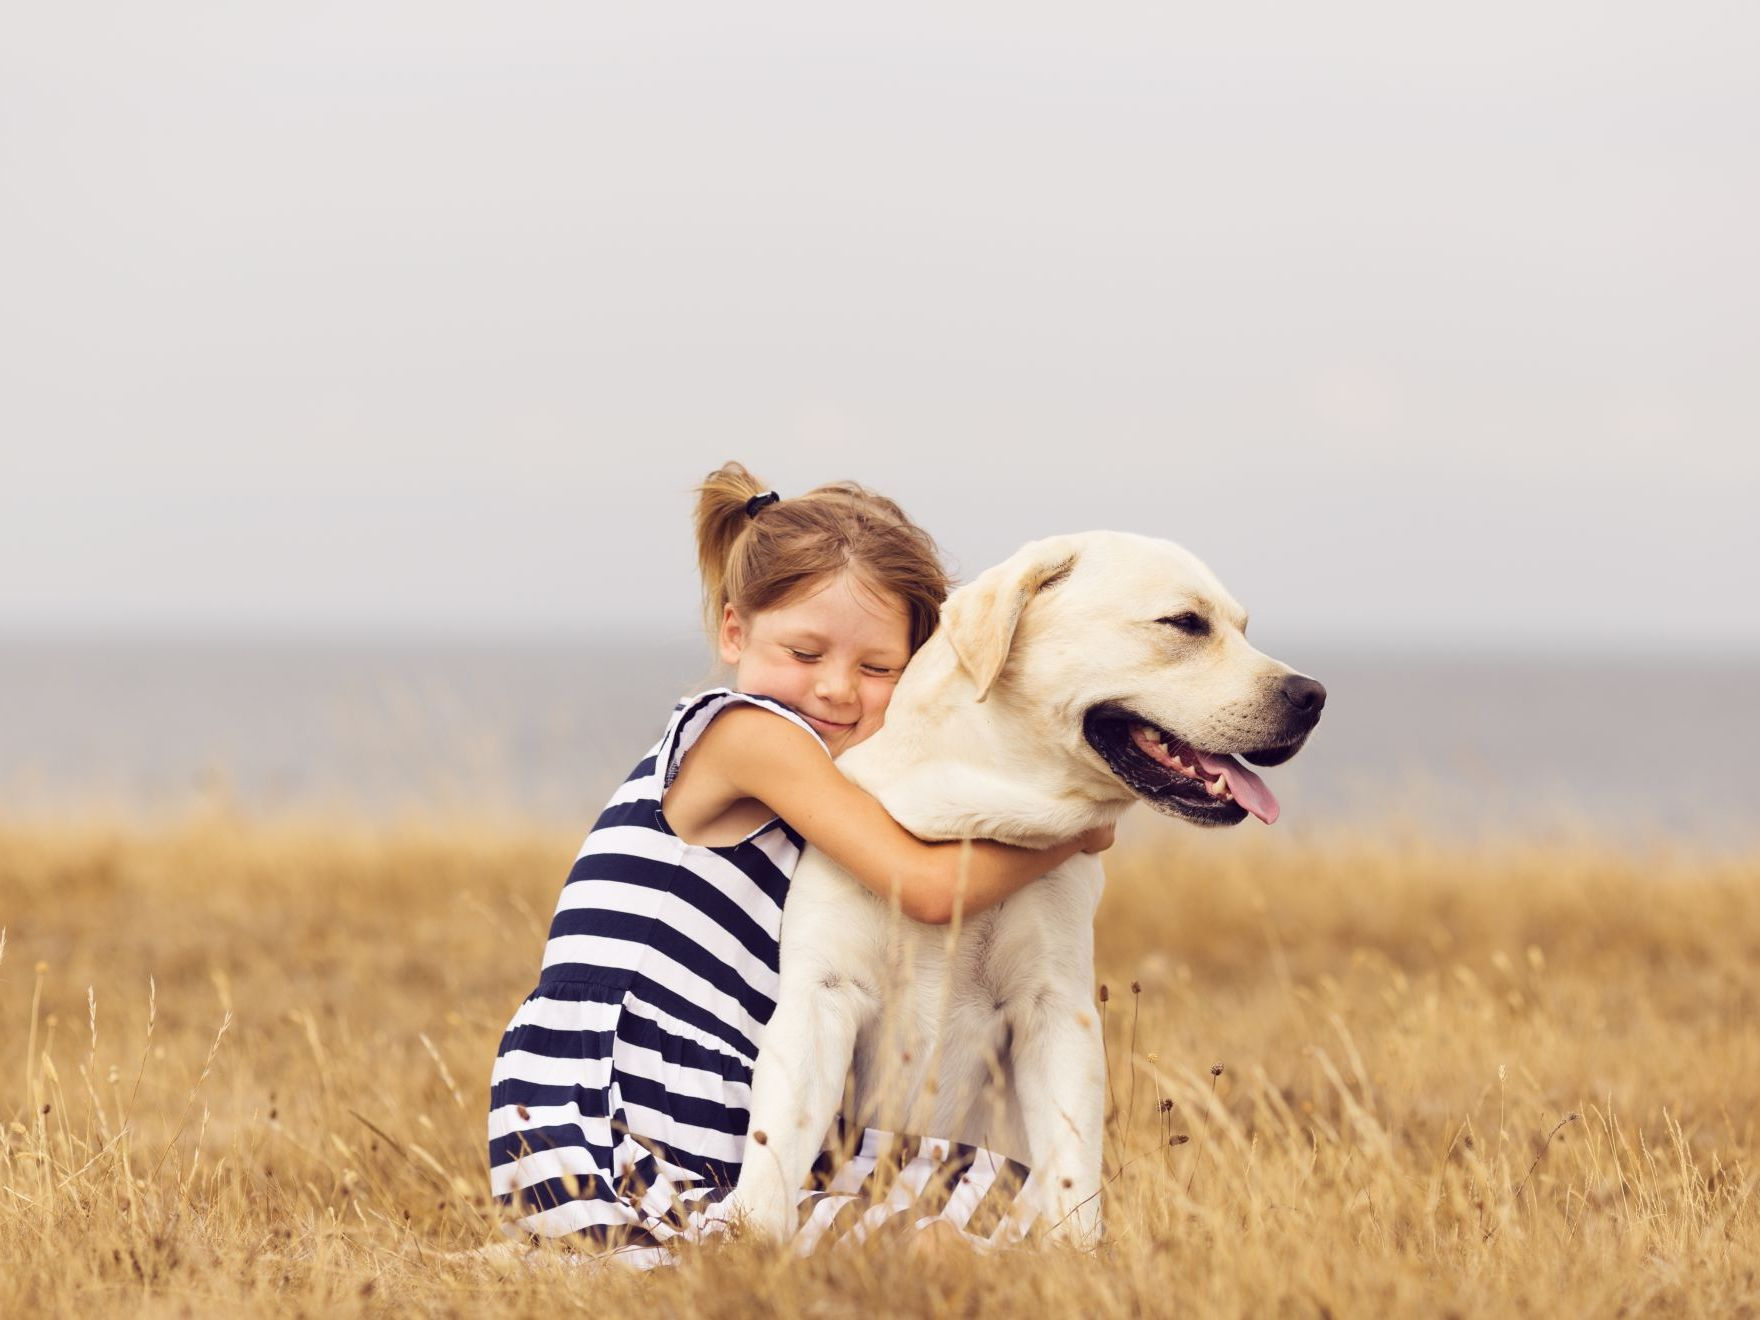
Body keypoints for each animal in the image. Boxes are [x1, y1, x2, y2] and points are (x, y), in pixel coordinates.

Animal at [725, 531, 1323, 1253]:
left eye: (1242, 628)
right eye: (1184, 623)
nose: (1313, 694)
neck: (971, 823)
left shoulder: (1055, 1008)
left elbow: (1069, 1165)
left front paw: (1076, 1253)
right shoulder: (822, 994)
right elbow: (776, 1141)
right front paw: (750, 1242)